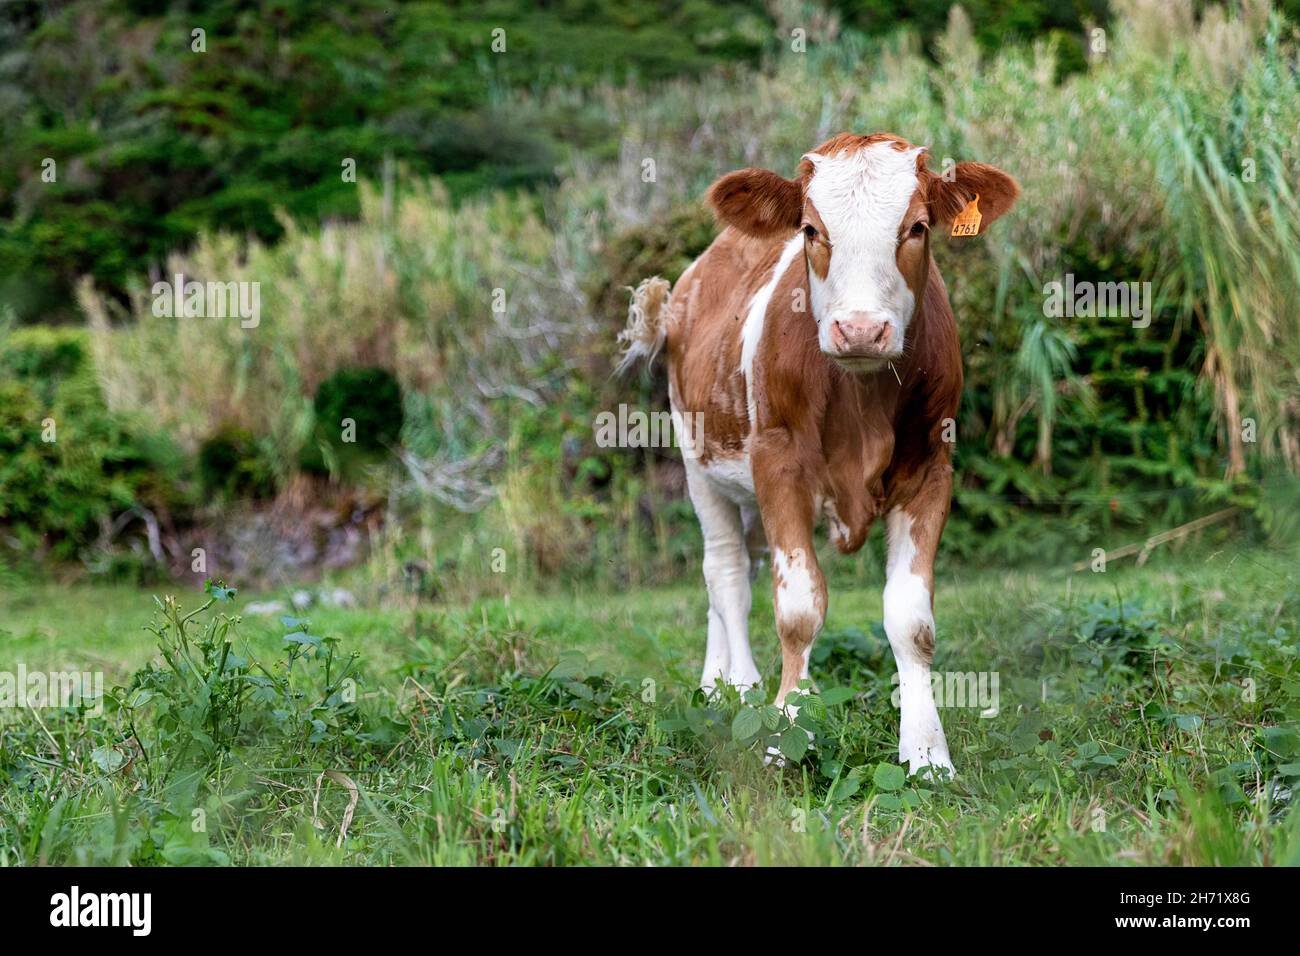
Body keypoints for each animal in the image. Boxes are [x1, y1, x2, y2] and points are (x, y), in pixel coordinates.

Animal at [618, 132, 1019, 776]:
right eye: (810, 228)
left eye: (917, 226)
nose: (860, 330)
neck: (860, 398)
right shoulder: (777, 463)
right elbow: (800, 608)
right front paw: (784, 734)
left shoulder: (931, 467)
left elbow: (911, 619)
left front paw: (927, 752)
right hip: (700, 463)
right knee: (724, 573)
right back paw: (741, 688)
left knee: (741, 568)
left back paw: (716, 683)